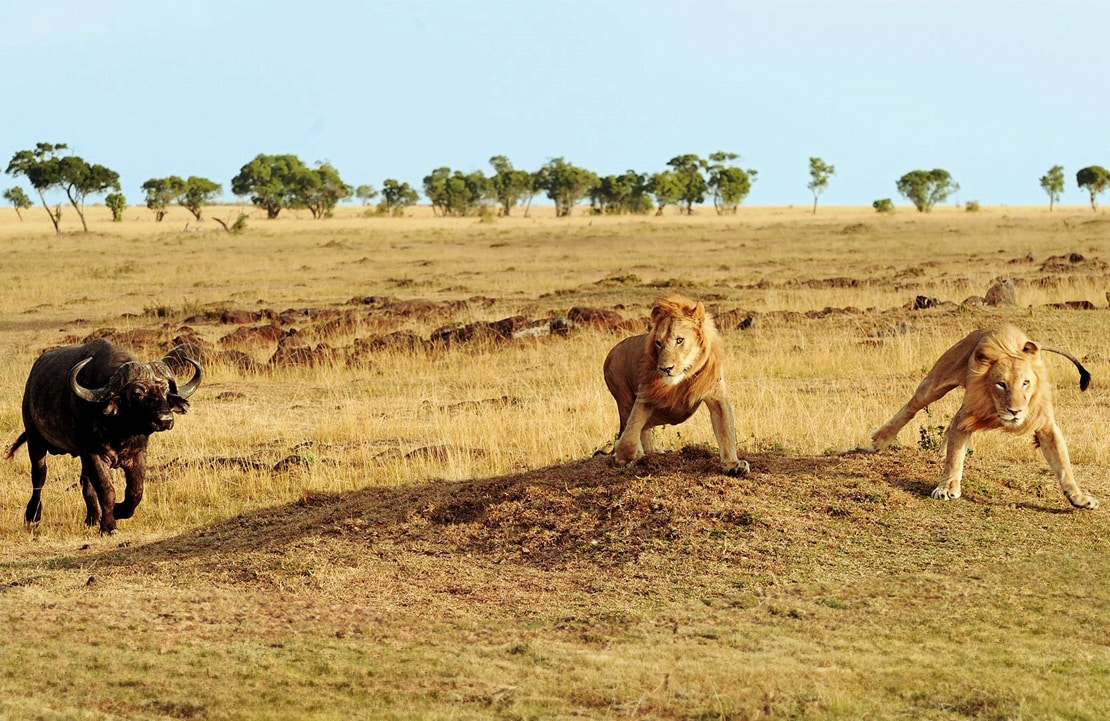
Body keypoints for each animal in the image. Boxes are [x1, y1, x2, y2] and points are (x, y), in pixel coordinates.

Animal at [6, 339, 203, 532]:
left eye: (165, 391)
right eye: (137, 393)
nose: (165, 419)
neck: (120, 431)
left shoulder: (137, 454)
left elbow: (136, 491)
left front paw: (119, 511)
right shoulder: (94, 454)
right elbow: (106, 490)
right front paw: (109, 526)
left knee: (85, 483)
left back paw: (92, 518)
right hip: (35, 439)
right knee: (39, 476)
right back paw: (32, 516)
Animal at [603, 288, 750, 474]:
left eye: (679, 340)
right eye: (658, 343)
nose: (665, 368)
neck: (684, 376)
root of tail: (612, 351)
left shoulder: (717, 397)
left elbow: (725, 430)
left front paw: (733, 464)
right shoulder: (646, 394)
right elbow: (630, 432)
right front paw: (626, 457)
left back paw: (654, 452)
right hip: (623, 396)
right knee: (635, 426)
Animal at [870, 323, 1096, 508]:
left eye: (1026, 382)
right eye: (1001, 384)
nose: (1015, 411)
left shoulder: (1045, 424)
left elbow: (1063, 464)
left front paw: (1079, 497)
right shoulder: (967, 415)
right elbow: (955, 457)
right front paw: (946, 488)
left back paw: (939, 449)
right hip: (937, 380)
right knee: (911, 407)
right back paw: (881, 439)